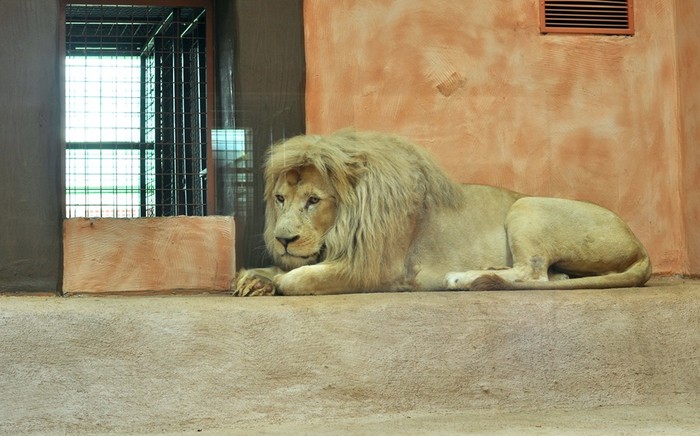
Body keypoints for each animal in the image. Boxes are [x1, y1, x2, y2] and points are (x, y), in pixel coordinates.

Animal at [232, 130, 651, 296]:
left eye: (314, 201)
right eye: (280, 199)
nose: (283, 239)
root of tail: (641, 244)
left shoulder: (376, 268)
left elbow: (300, 278)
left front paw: (277, 279)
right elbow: (280, 269)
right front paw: (254, 279)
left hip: (525, 205)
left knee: (533, 274)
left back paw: (463, 278)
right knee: (547, 275)